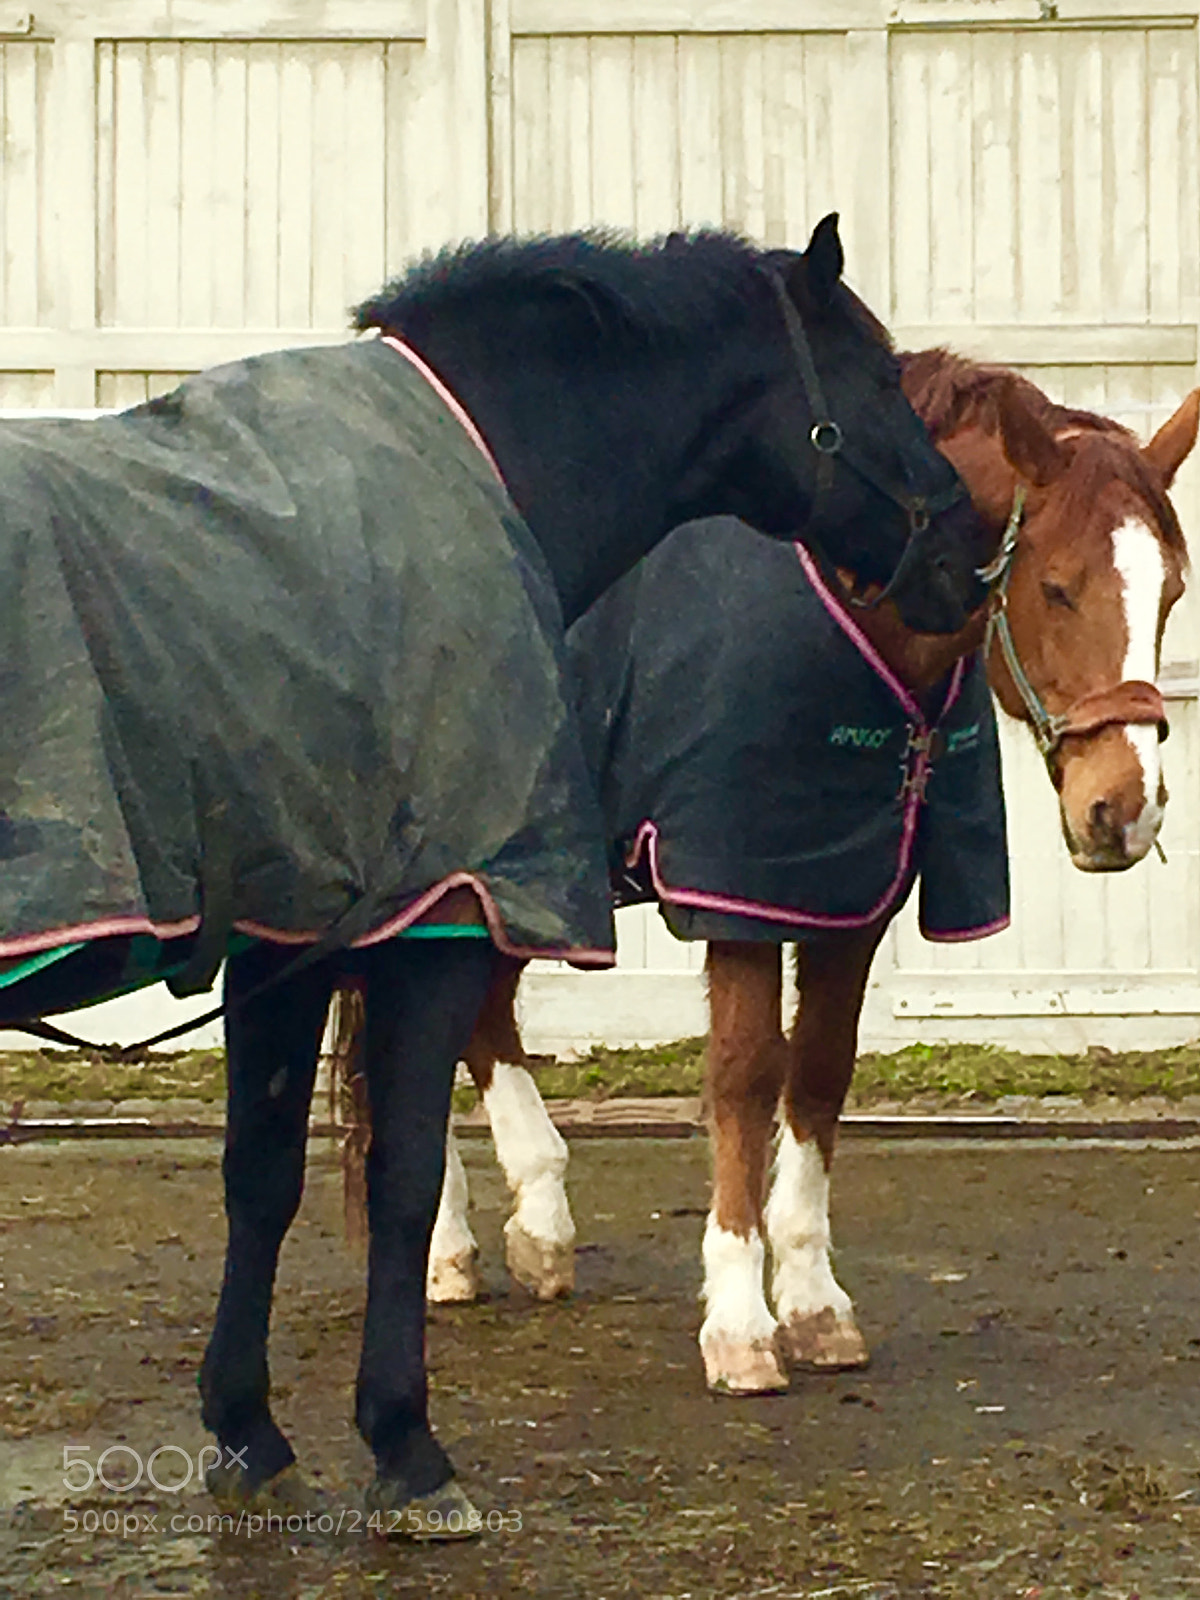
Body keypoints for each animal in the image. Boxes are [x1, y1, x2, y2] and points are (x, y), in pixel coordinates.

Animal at [0, 218, 991, 1533]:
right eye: (879, 378)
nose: (971, 555)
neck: (464, 469)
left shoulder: (286, 938)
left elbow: (261, 1176)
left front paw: (248, 1427)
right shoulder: (430, 928)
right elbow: (403, 1172)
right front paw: (407, 1445)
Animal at [338, 355, 1197, 1399]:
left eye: (1170, 593)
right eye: (1060, 587)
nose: (1126, 810)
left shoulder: (850, 902)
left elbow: (819, 1076)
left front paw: (816, 1303)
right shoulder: (738, 894)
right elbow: (746, 1081)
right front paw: (741, 1325)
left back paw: (529, 1231)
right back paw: (443, 1246)